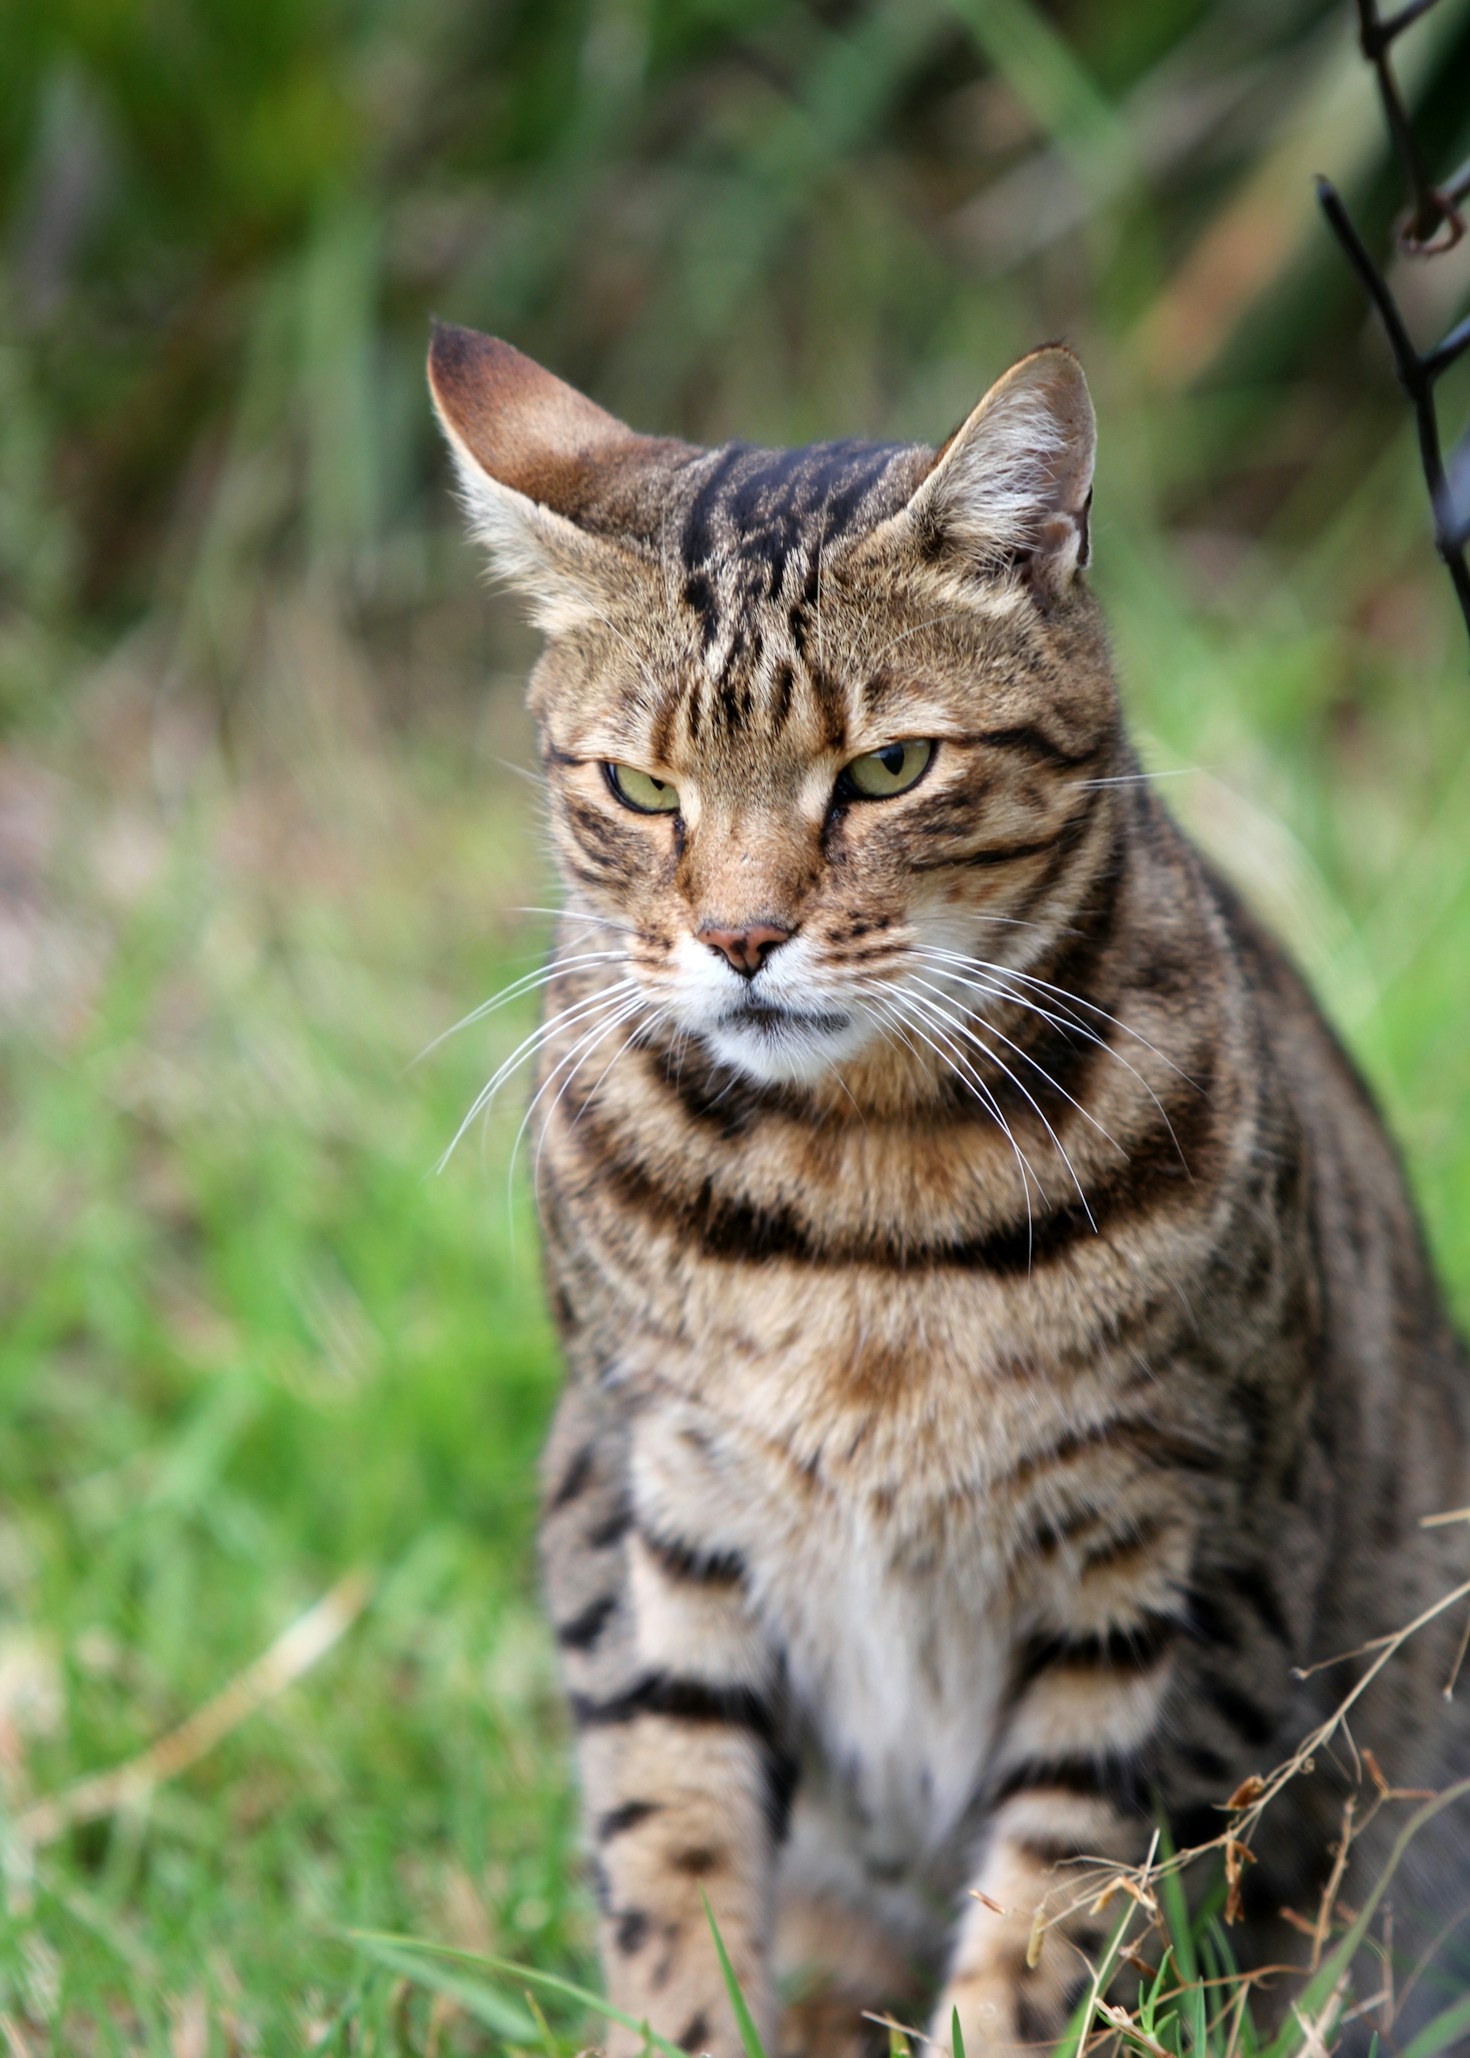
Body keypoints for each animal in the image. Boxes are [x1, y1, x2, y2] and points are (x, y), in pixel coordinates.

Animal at [424, 316, 1465, 2041]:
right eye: (641, 791)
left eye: (888, 768)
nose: (740, 935)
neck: (858, 1192)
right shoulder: (644, 1507)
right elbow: (670, 1855)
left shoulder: (1172, 1565)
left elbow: (1061, 1914)